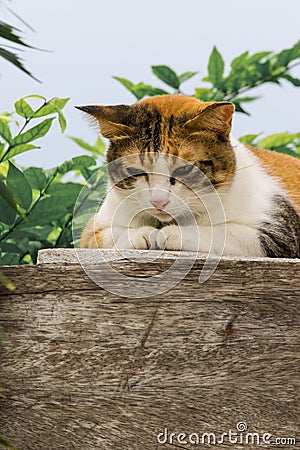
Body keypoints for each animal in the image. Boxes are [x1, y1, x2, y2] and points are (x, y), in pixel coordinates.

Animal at [76, 94, 300, 256]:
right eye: (136, 172)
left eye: (183, 170)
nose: (158, 201)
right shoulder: (95, 228)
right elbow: (101, 236)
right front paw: (141, 234)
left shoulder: (284, 234)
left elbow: (227, 232)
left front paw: (174, 234)